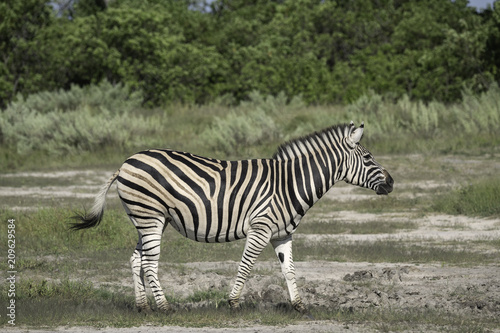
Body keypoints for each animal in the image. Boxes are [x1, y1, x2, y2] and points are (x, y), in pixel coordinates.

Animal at [71, 121, 394, 314]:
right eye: (368, 158)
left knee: (136, 259)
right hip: (149, 217)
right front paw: (233, 302)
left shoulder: (282, 234)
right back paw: (164, 307)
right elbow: (246, 266)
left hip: (147, 220)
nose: (392, 183)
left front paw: (300, 306)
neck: (290, 183)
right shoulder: (260, 228)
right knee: (149, 263)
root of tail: (126, 162)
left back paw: (142, 307)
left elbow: (289, 270)